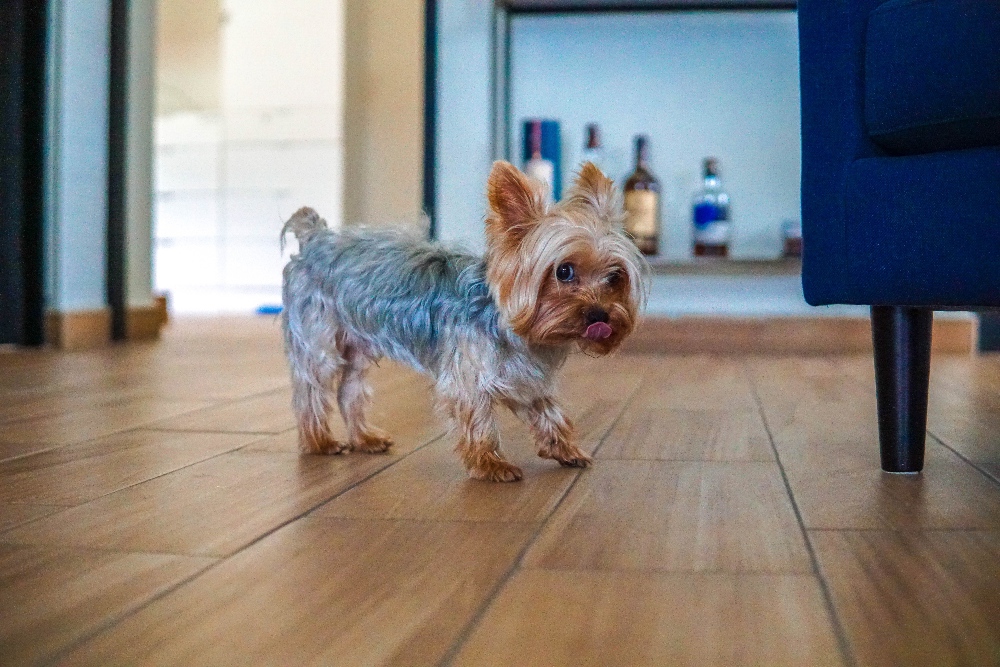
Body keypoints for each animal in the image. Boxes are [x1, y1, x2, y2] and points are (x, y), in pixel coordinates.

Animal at [280, 163, 648, 486]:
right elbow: (480, 420)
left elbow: (549, 410)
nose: (601, 315)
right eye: (564, 271)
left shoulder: (522, 375)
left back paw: (364, 438)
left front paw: (566, 449)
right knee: (312, 388)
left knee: (349, 390)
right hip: (319, 336)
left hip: (358, 343)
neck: (508, 322)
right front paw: (490, 465)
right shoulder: (469, 376)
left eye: (615, 277)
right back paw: (320, 441)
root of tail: (315, 238)